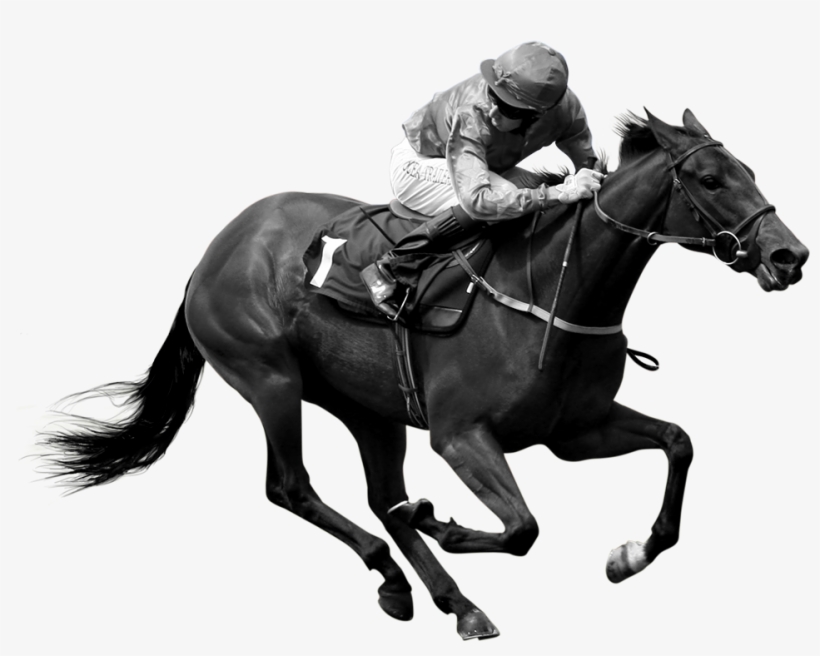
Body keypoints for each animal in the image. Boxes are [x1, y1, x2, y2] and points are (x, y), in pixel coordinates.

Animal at [40, 109, 809, 640]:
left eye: (751, 171)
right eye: (710, 180)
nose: (790, 255)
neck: (562, 290)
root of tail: (215, 248)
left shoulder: (576, 430)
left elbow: (679, 442)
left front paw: (631, 554)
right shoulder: (461, 434)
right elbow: (524, 527)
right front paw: (444, 521)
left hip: (368, 406)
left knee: (383, 498)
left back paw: (449, 599)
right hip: (269, 378)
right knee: (292, 487)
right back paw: (397, 571)